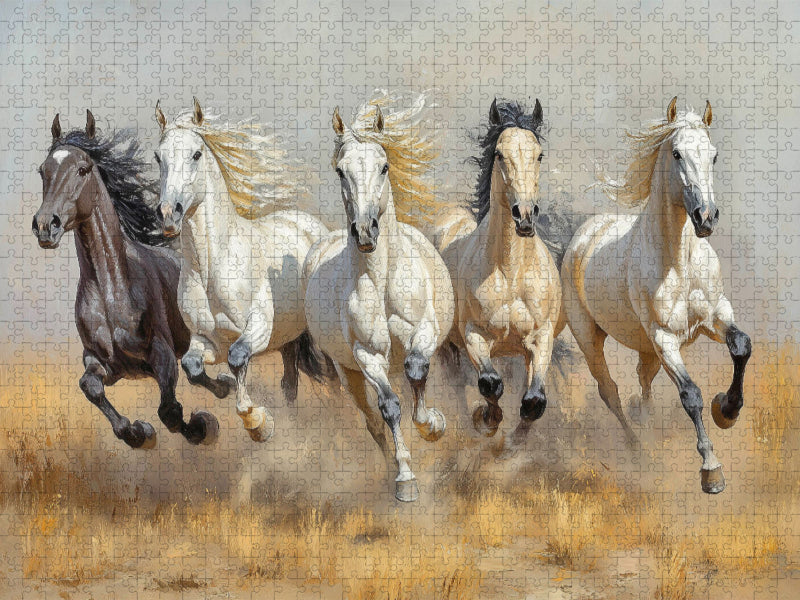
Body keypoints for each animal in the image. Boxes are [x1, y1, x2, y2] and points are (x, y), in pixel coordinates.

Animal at [32, 111, 221, 449]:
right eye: (43, 170)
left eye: (83, 169)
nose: (44, 226)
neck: (112, 293)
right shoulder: (103, 363)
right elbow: (91, 388)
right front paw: (138, 433)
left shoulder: (162, 354)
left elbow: (170, 411)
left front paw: (202, 426)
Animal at [154, 98, 334, 443]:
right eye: (158, 157)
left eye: (196, 154)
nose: (169, 215)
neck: (212, 268)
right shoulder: (206, 339)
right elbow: (192, 367)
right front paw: (223, 387)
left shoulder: (257, 329)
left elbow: (238, 357)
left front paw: (257, 422)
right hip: (288, 339)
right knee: (290, 383)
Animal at [303, 91, 455, 502]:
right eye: (341, 171)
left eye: (384, 166)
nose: (366, 232)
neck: (384, 282)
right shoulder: (367, 355)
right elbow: (389, 407)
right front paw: (405, 479)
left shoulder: (423, 332)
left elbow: (417, 371)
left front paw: (433, 425)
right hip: (349, 372)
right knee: (372, 419)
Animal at [418, 99, 566, 439]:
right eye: (499, 154)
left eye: (539, 154)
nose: (525, 215)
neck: (510, 273)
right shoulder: (475, 336)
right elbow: (490, 384)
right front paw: (486, 419)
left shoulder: (541, 338)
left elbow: (533, 401)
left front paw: (516, 438)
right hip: (448, 349)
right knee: (459, 386)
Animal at [560, 97, 751, 494]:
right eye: (677, 153)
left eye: (713, 155)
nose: (706, 217)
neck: (678, 262)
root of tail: (584, 235)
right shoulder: (665, 338)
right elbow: (690, 394)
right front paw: (711, 471)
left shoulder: (716, 316)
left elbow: (741, 346)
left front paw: (726, 410)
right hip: (591, 338)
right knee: (610, 391)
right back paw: (637, 451)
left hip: (646, 347)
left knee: (642, 382)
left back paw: (643, 418)